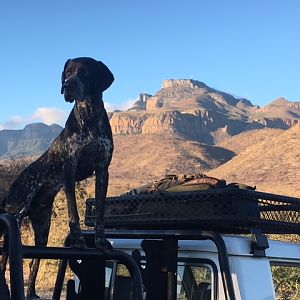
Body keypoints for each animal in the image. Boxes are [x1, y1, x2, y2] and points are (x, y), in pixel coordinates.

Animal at [1, 56, 114, 298]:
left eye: (85, 72)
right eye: (68, 72)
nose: (68, 86)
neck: (89, 116)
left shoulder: (103, 171)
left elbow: (100, 214)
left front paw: (101, 241)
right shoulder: (69, 168)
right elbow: (74, 213)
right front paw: (79, 240)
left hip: (43, 228)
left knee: (33, 261)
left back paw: (31, 293)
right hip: (16, 213)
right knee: (5, 256)